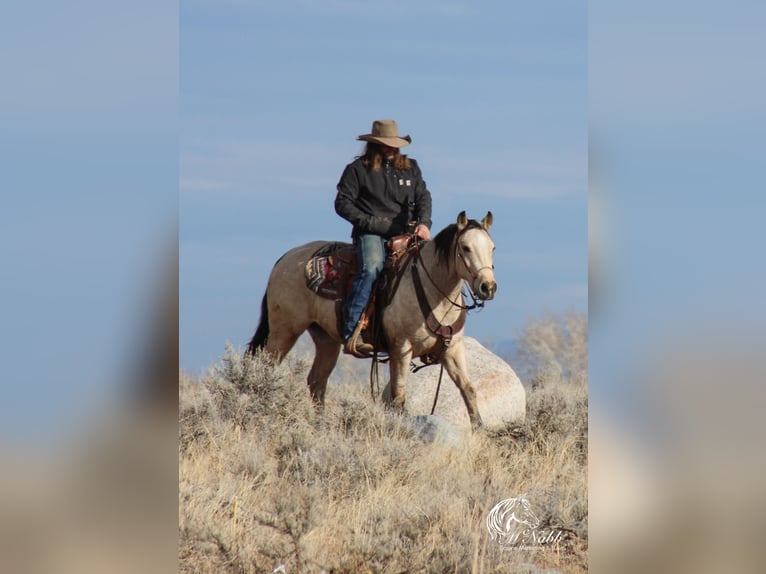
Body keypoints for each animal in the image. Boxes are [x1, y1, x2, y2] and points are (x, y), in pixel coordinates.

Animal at [246, 210, 498, 428]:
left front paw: (479, 430)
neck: (432, 292)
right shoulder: (401, 350)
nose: (488, 287)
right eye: (465, 248)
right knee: (267, 368)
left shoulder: (452, 349)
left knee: (317, 381)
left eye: (492, 247)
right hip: (284, 332)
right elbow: (399, 395)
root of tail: (284, 259)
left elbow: (468, 389)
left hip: (326, 339)